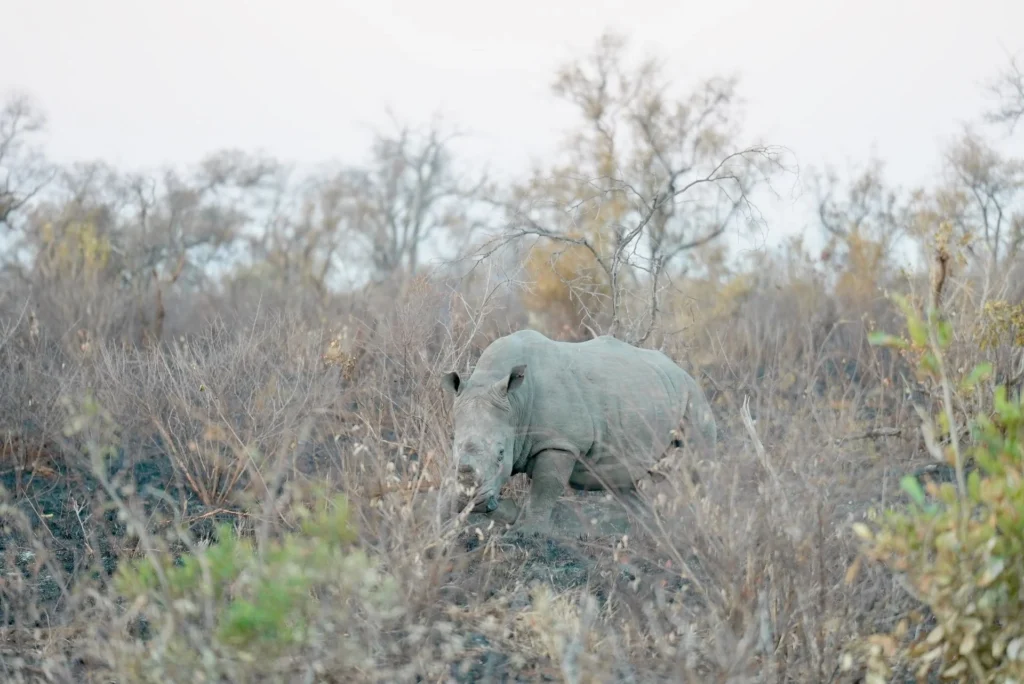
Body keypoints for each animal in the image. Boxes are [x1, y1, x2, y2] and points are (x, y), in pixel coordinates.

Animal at [441, 329, 717, 537]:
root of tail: (681, 369)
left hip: (692, 394)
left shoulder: (560, 442)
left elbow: (545, 487)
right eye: (453, 450)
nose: (473, 503)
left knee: (696, 460)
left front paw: (527, 533)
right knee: (624, 484)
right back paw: (652, 535)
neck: (514, 401)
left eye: (500, 454)